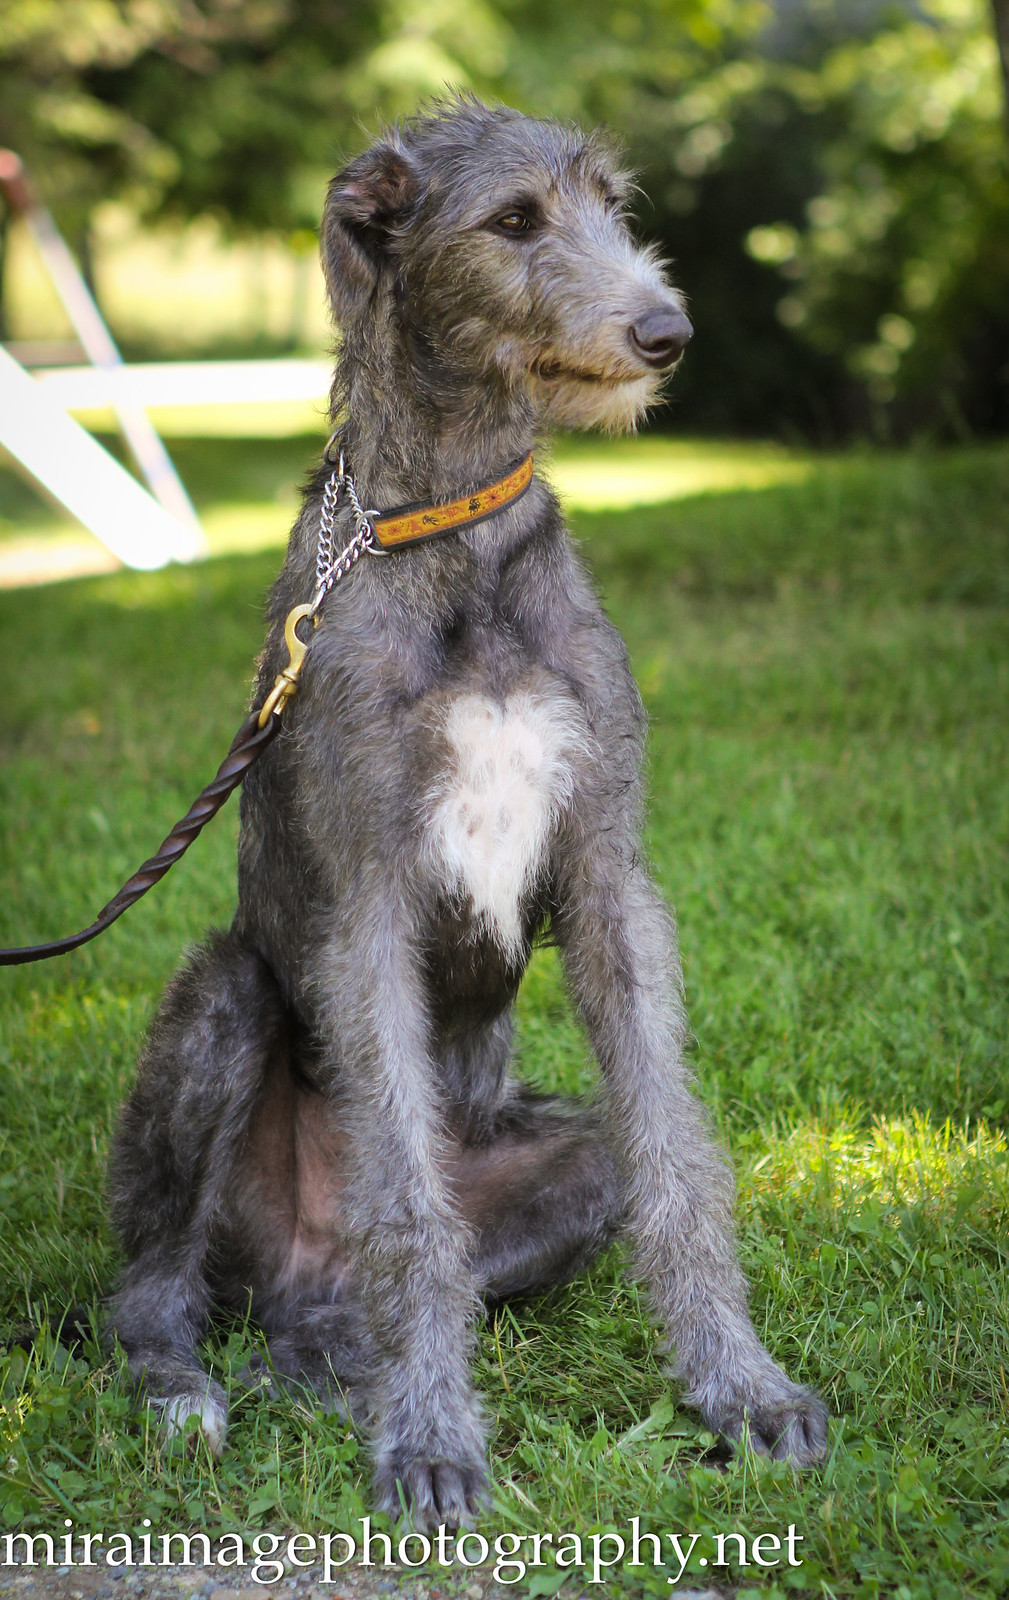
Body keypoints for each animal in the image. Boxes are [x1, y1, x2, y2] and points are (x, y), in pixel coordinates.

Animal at [106, 96, 825, 1523]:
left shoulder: (609, 875)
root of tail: (297, 1272)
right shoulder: (366, 900)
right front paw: (431, 1436)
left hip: (545, 1162)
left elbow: (674, 1161)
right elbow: (408, 1204)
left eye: (613, 203)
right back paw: (189, 1390)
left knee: (438, 1250)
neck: (456, 531)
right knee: (154, 1285)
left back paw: (330, 1360)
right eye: (512, 220)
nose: (666, 332)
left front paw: (742, 1388)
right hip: (222, 1006)